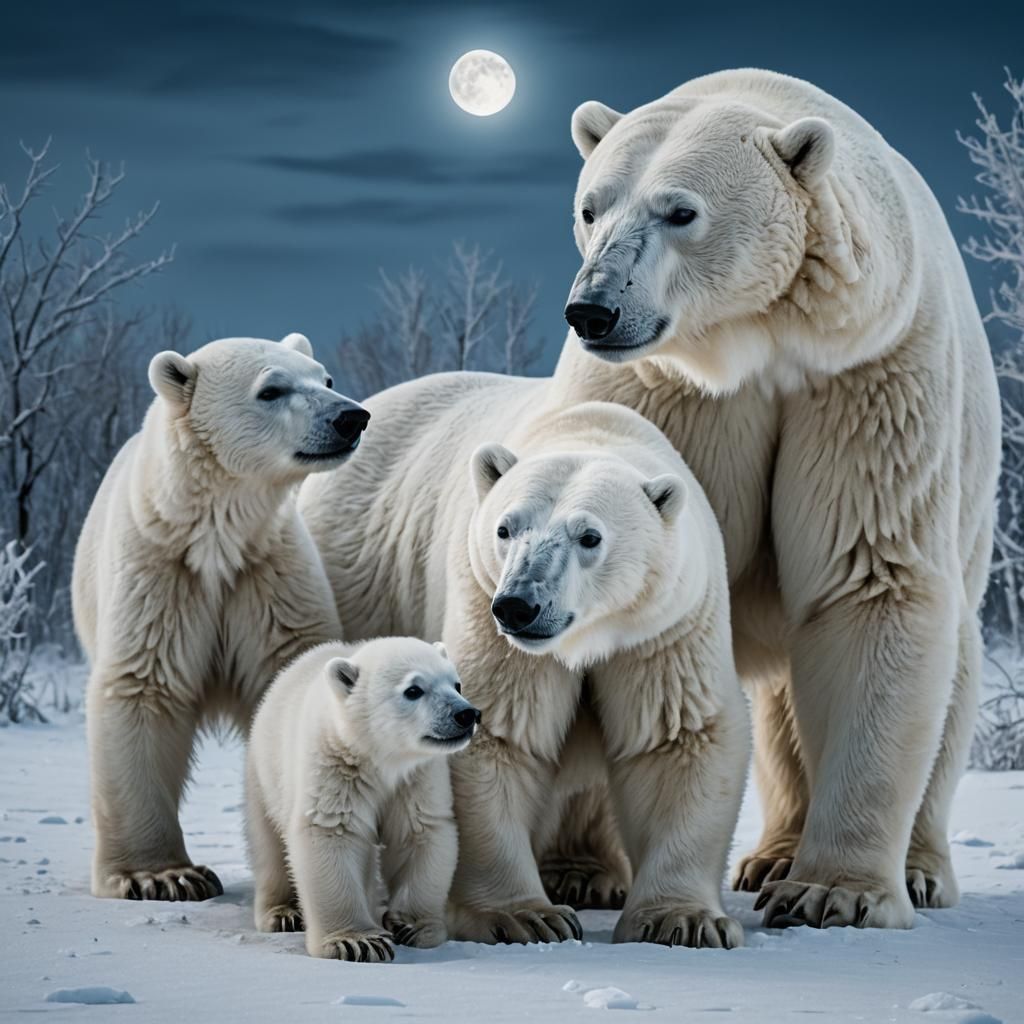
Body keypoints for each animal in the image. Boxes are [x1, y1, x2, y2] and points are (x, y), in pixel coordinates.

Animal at [72, 333, 370, 901]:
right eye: (271, 389)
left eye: (325, 379)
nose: (352, 417)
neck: (216, 535)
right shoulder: (160, 573)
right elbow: (143, 686)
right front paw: (161, 876)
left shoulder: (268, 574)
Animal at [246, 637, 479, 961]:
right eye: (413, 690)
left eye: (457, 684)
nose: (467, 714)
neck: (377, 758)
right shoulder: (334, 767)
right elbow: (332, 833)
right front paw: (356, 941)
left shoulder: (416, 777)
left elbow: (419, 832)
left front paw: (412, 927)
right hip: (265, 776)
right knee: (269, 845)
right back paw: (282, 913)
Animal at [442, 402, 749, 947]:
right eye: (504, 529)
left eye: (589, 536)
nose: (518, 605)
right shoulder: (487, 613)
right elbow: (498, 730)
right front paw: (525, 917)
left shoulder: (662, 629)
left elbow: (677, 737)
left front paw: (683, 921)